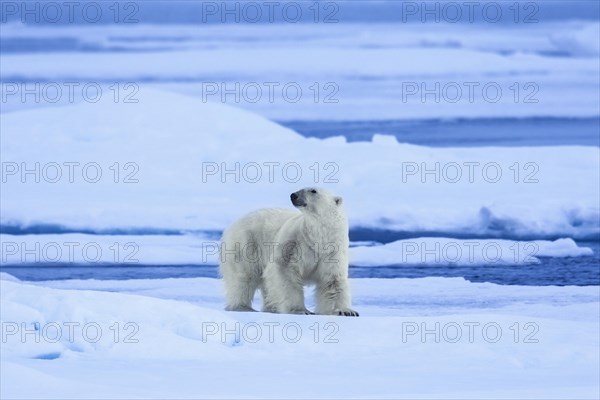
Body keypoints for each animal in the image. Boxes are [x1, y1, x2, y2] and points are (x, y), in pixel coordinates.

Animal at [219, 188, 356, 316]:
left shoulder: (332, 250)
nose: (293, 195)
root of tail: (233, 224)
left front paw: (346, 311)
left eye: (313, 190)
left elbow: (333, 280)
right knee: (244, 276)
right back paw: (242, 307)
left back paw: (271, 308)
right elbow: (285, 271)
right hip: (247, 244)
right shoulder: (294, 242)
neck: (318, 237)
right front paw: (301, 310)